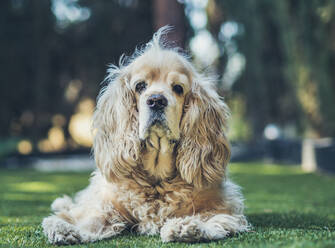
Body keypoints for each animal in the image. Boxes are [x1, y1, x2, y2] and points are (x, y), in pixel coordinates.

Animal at [42, 26, 249, 244]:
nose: (156, 100)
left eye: (178, 88)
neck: (157, 178)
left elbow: (215, 219)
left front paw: (187, 226)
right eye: (140, 86)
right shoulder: (107, 203)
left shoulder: (222, 206)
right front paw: (65, 227)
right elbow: (91, 218)